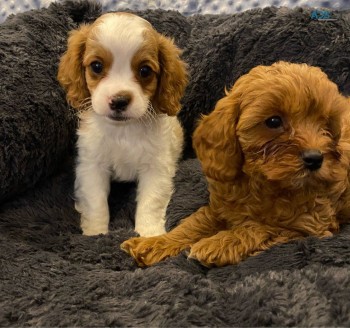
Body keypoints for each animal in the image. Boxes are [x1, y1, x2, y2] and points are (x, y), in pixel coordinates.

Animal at [120, 61, 350, 266]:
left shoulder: (308, 225)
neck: (262, 183)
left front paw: (217, 243)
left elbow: (257, 227)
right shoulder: (220, 209)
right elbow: (193, 225)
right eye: (274, 121)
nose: (315, 159)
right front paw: (154, 243)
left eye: (326, 124)